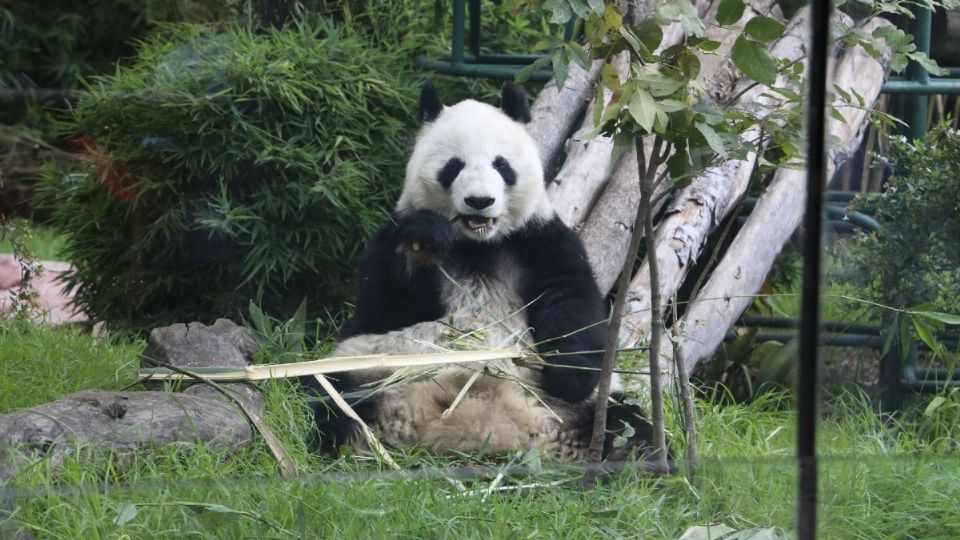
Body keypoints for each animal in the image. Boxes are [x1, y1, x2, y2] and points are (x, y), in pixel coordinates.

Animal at [310, 82, 660, 462]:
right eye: (453, 166)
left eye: (501, 165)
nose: (480, 201)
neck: (478, 245)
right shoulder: (394, 233)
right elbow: (381, 306)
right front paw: (426, 238)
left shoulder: (541, 240)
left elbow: (573, 300)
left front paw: (569, 373)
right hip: (375, 363)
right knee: (327, 391)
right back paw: (348, 437)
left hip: (575, 403)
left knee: (628, 423)